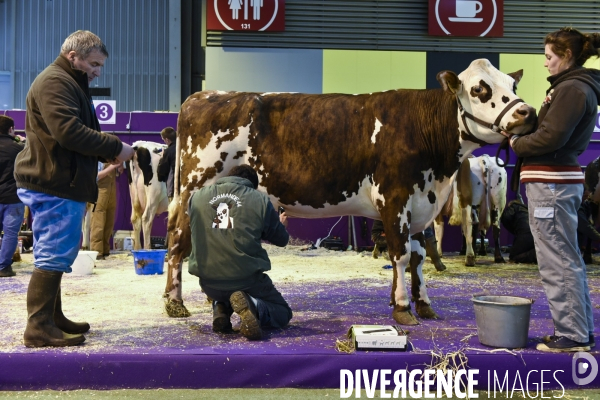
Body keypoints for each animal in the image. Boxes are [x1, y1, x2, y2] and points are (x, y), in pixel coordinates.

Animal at [163, 58, 536, 324]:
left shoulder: (420, 203)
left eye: (513, 83)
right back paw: (174, 303)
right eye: (479, 89)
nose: (526, 111)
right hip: (193, 186)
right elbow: (401, 254)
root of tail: (204, 95)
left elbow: (418, 255)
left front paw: (424, 304)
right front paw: (403, 308)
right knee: (177, 241)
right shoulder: (394, 198)